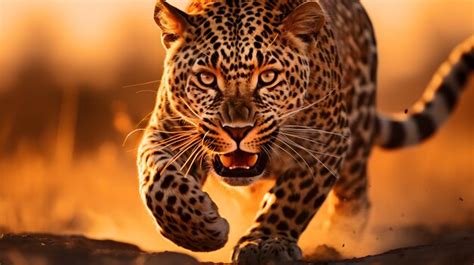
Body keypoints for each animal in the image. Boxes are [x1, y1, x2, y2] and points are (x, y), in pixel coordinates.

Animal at [135, 0, 472, 262]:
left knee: (355, 198)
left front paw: (265, 243)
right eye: (206, 78)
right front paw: (198, 230)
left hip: (358, 134)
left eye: (268, 77)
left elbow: (293, 198)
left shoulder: (328, 142)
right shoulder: (167, 132)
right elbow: (158, 183)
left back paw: (338, 241)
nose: (237, 130)